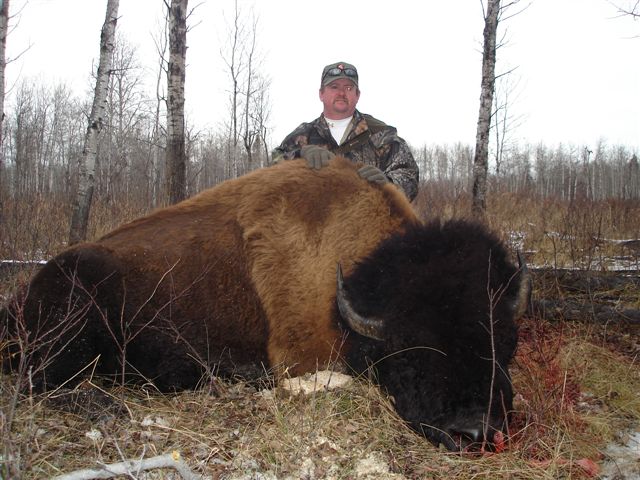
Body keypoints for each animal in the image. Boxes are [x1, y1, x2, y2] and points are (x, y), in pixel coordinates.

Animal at [2, 157, 529, 451]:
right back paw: (109, 406)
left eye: (504, 343)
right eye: (411, 353)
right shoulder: (303, 356)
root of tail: (18, 300)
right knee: (40, 383)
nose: (474, 432)